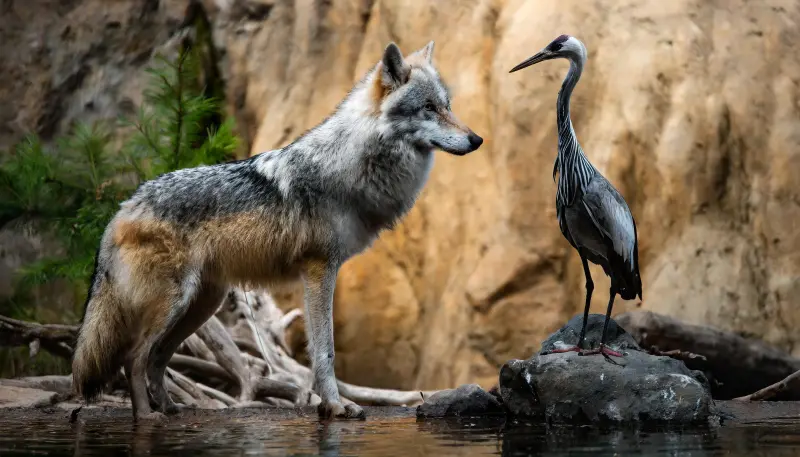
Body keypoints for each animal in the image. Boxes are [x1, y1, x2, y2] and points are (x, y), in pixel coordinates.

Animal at [72, 40, 482, 420]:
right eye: (428, 108)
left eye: (447, 105)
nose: (476, 139)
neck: (352, 165)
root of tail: (123, 209)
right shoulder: (319, 270)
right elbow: (324, 350)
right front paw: (335, 406)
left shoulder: (319, 272)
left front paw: (329, 405)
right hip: (176, 303)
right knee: (134, 358)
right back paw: (146, 417)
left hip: (201, 306)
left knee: (156, 358)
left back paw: (172, 408)